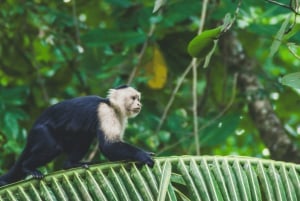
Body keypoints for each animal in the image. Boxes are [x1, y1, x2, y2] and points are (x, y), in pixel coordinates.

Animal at [0, 85, 155, 187]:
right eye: (133, 98)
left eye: (138, 98)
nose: (139, 104)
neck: (111, 105)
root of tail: (33, 128)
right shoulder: (106, 112)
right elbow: (108, 146)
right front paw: (142, 155)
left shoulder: (121, 117)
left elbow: (111, 150)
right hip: (40, 132)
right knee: (52, 146)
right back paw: (28, 167)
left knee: (83, 137)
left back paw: (71, 164)